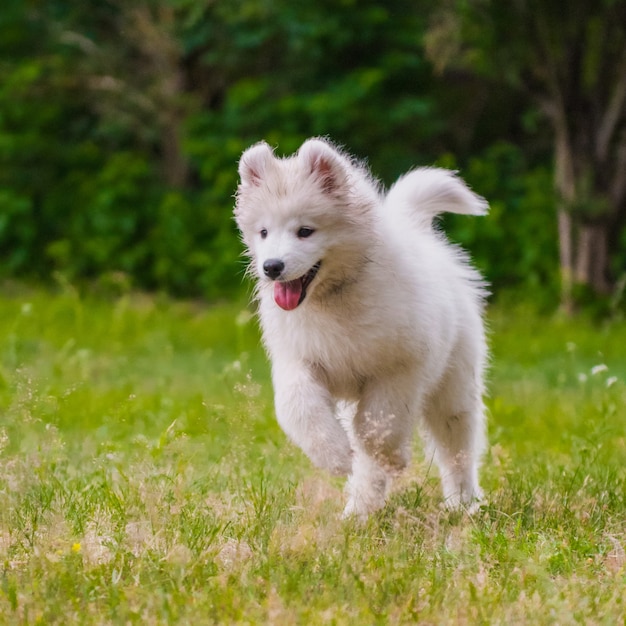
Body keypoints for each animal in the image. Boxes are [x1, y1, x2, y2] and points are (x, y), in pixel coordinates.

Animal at [234, 138, 488, 516]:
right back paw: (359, 512)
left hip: (454, 383)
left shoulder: (399, 368)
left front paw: (392, 458)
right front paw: (336, 456)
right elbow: (299, 408)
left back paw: (462, 503)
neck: (334, 297)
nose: (272, 267)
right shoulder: (299, 359)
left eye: (305, 231)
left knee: (457, 445)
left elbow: (376, 428)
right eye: (263, 232)